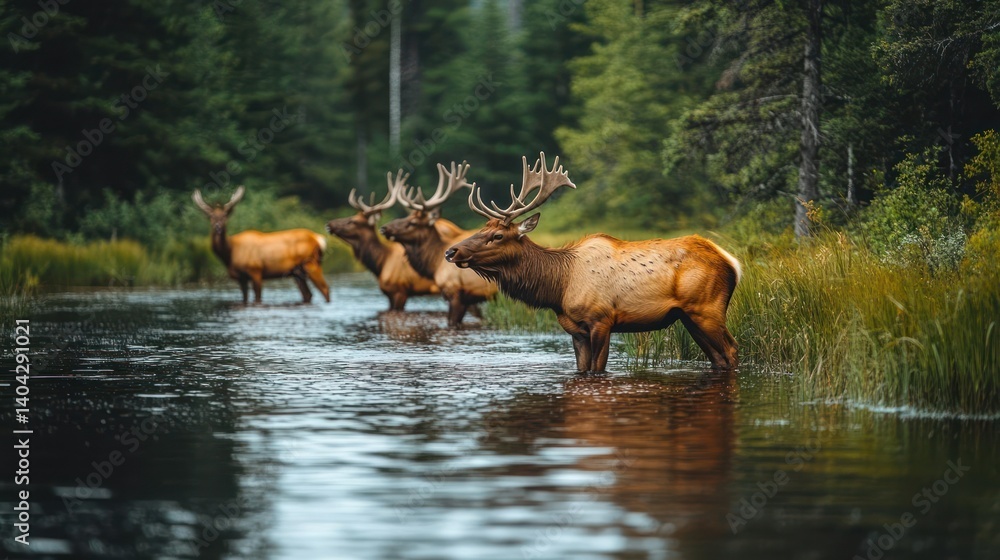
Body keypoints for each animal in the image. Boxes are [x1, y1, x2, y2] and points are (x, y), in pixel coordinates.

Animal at [192, 186, 330, 304]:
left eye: (225, 216)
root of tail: (319, 239)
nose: (218, 227)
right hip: (297, 272)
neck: (230, 254)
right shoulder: (241, 278)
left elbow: (257, 297)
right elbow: (245, 298)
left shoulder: (256, 270)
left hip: (311, 263)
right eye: (211, 216)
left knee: (325, 289)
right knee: (308, 294)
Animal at [445, 153, 742, 372]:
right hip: (688, 316)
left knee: (731, 350)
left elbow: (597, 369)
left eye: (497, 235)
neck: (558, 287)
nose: (451, 252)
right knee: (718, 358)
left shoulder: (601, 319)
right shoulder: (574, 329)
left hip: (707, 309)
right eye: (481, 229)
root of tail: (732, 262)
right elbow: (582, 369)